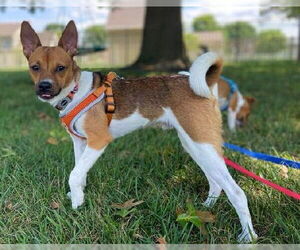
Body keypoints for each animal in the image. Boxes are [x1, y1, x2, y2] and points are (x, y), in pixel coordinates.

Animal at [19, 20, 256, 243]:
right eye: (35, 67)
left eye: (61, 68)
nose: (44, 87)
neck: (75, 92)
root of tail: (202, 84)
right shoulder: (80, 142)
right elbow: (80, 172)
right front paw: (78, 196)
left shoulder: (98, 140)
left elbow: (74, 174)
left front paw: (77, 205)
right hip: (195, 145)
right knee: (215, 182)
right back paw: (207, 207)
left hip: (203, 144)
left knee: (236, 192)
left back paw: (248, 236)